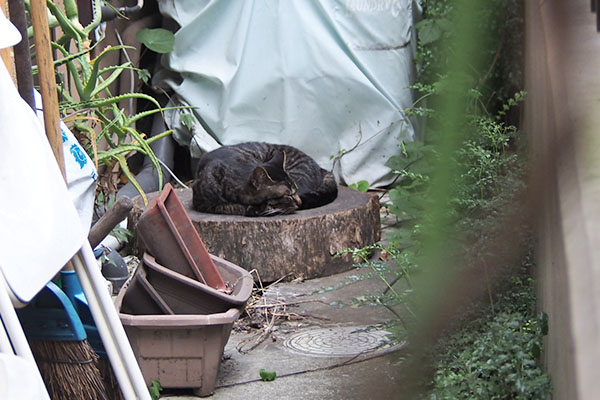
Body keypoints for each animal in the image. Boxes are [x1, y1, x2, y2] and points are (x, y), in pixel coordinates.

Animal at [195, 142, 340, 217]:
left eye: (295, 190)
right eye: (288, 195)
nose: (299, 202)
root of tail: (321, 169)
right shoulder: (203, 203)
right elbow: (231, 207)